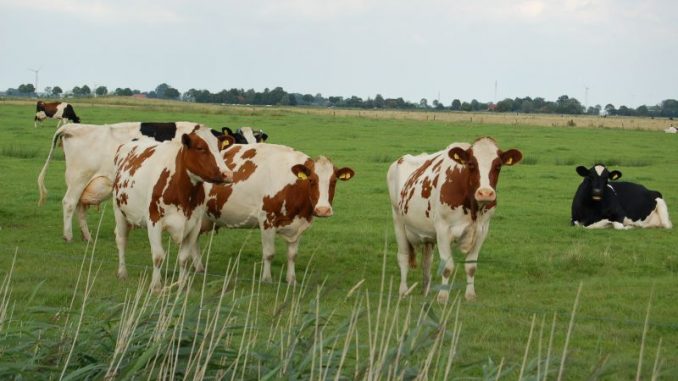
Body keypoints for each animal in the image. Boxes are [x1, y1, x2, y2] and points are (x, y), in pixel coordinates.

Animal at [113, 126, 235, 290]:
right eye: (200, 148)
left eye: (219, 148)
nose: (227, 174)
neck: (182, 192)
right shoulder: (154, 221)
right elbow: (158, 256)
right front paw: (156, 286)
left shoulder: (194, 224)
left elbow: (184, 258)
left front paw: (182, 285)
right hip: (119, 211)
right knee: (121, 240)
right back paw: (122, 272)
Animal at [197, 142, 356, 282]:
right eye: (311, 180)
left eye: (334, 181)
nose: (323, 210)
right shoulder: (266, 220)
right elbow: (269, 253)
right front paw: (266, 279)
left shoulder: (298, 225)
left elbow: (292, 255)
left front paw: (291, 280)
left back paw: (199, 268)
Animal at [388, 136, 524, 300]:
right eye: (471, 164)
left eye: (498, 165)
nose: (485, 193)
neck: (473, 210)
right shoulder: (442, 229)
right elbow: (447, 267)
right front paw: (442, 297)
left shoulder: (482, 230)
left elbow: (471, 266)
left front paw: (470, 295)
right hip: (398, 220)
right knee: (403, 257)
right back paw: (403, 290)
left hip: (427, 234)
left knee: (426, 262)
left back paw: (425, 292)